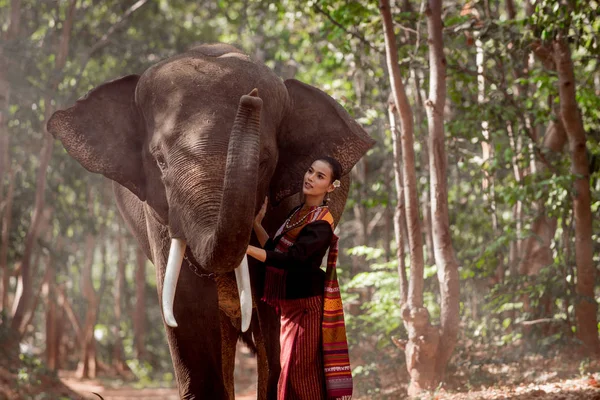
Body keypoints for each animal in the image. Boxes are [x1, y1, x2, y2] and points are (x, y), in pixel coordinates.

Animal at [47, 43, 372, 400]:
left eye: (264, 161)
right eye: (159, 160)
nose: (251, 98)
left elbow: (273, 302)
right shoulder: (159, 215)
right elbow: (186, 305)